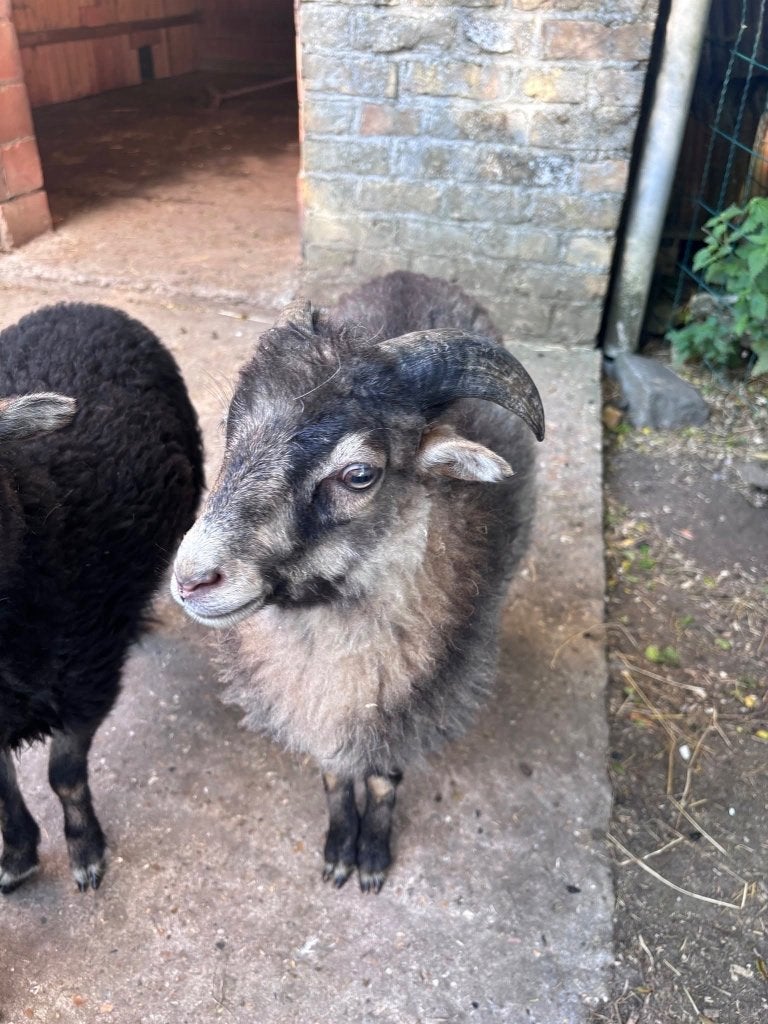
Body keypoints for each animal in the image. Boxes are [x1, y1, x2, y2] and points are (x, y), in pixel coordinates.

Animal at [171, 271, 544, 892]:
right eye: (232, 435)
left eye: (359, 475)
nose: (192, 579)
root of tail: (410, 273)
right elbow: (334, 777)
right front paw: (339, 850)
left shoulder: (404, 712)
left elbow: (381, 780)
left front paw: (370, 857)